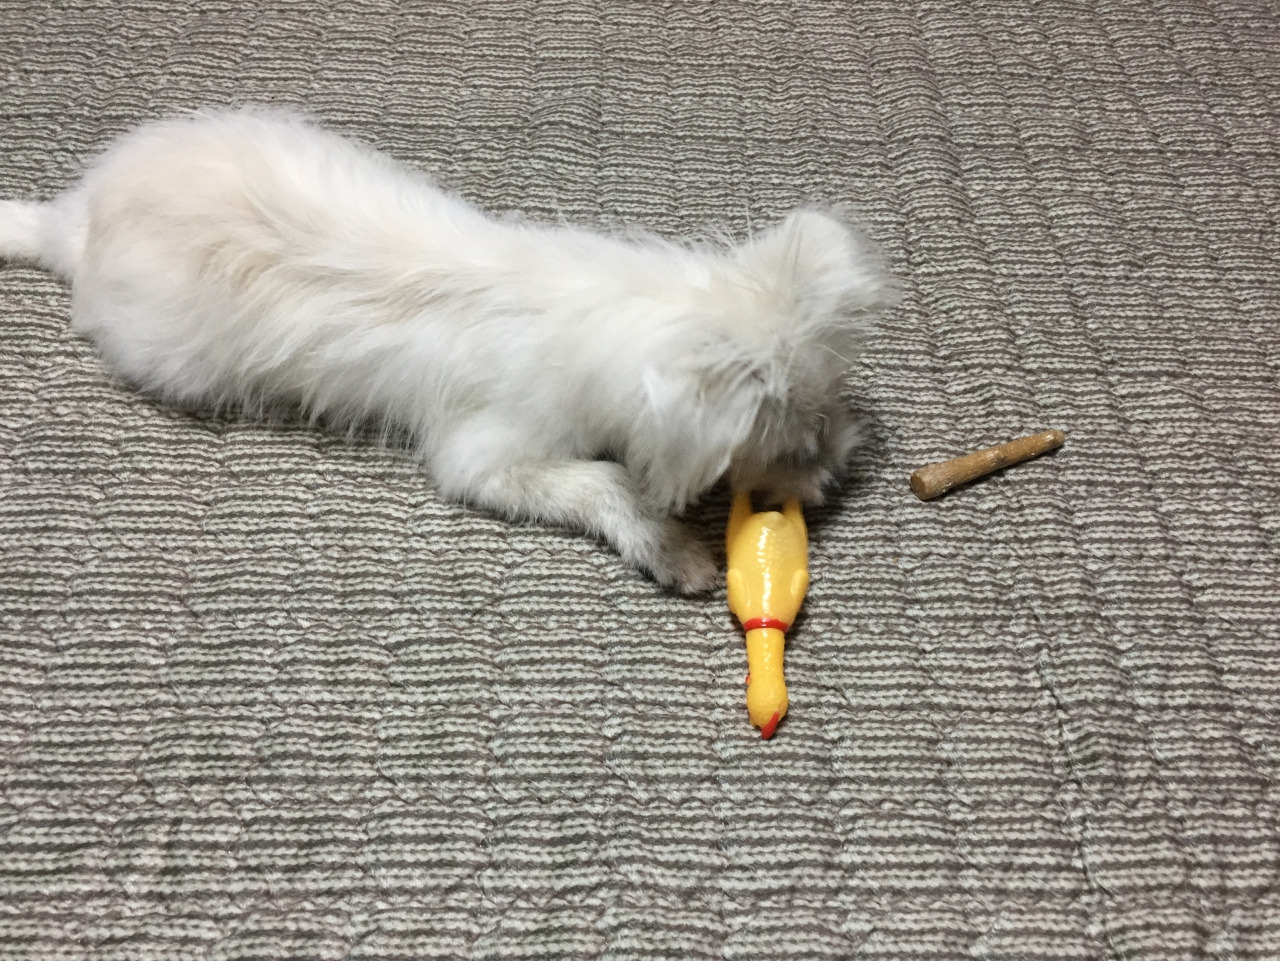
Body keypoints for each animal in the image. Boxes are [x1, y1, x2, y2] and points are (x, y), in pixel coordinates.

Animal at [0, 108, 895, 592]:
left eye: (832, 405)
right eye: (792, 443)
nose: (839, 474)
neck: (606, 304)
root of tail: (73, 223)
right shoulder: (487, 456)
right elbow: (604, 483)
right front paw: (675, 549)